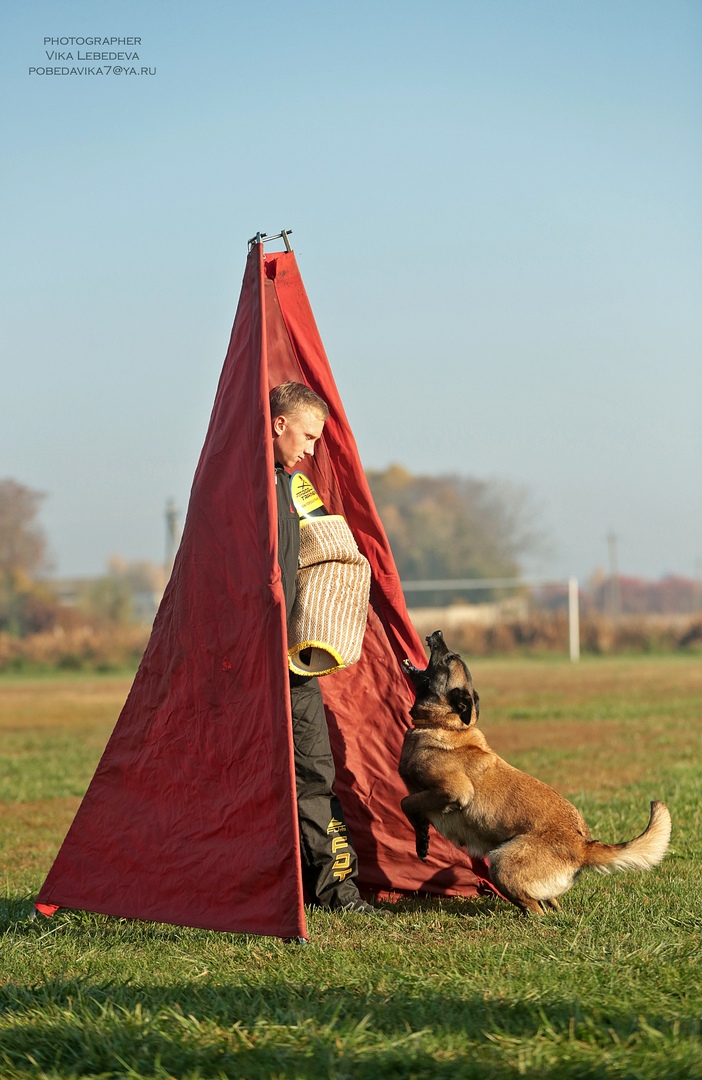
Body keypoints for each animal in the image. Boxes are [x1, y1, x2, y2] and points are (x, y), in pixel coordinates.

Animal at [397, 630, 669, 915]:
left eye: (449, 659)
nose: (437, 633)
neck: (443, 726)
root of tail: (582, 845)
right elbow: (414, 810)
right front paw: (422, 840)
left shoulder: (453, 791)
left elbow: (406, 801)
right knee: (552, 904)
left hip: (501, 862)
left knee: (537, 911)